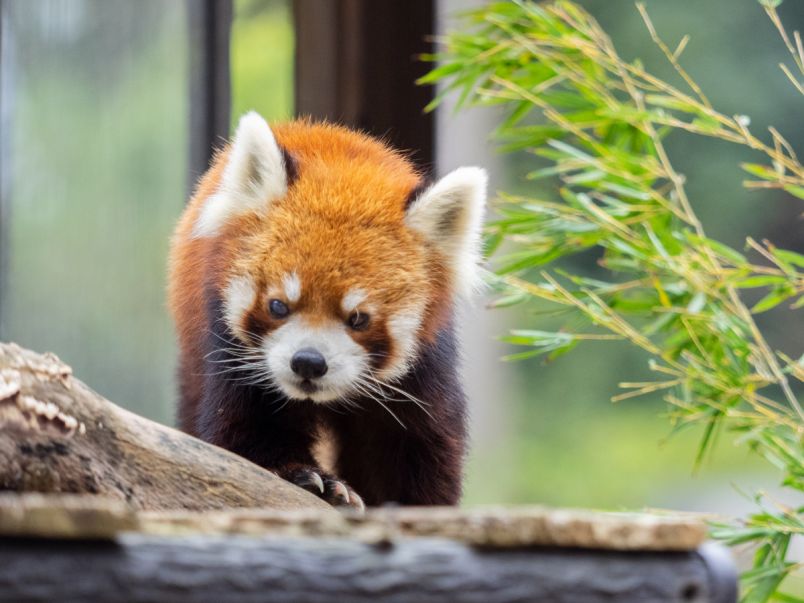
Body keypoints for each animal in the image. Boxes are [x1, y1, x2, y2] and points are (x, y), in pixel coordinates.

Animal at [166, 113, 486, 510]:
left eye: (358, 318)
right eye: (278, 305)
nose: (308, 362)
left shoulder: (424, 369)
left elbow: (414, 445)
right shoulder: (228, 342)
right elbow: (246, 428)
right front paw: (308, 478)